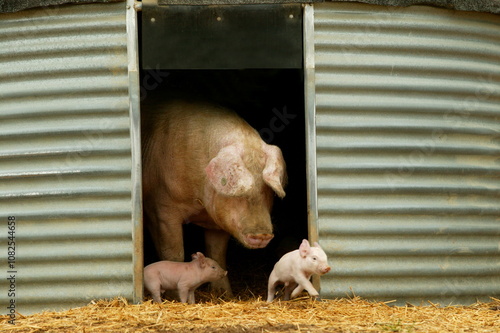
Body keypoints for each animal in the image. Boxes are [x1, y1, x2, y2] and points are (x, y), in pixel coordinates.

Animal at [143, 98, 288, 296]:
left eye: (267, 190)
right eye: (239, 190)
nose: (262, 234)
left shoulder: (218, 222)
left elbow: (217, 253)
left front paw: (224, 294)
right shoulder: (163, 208)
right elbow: (173, 253)